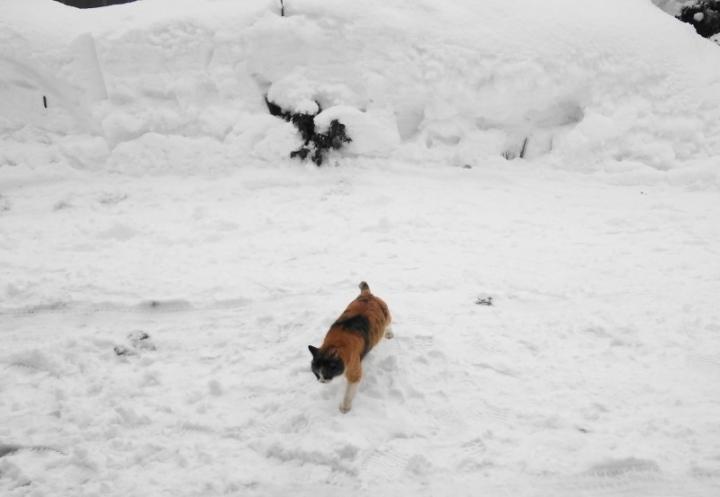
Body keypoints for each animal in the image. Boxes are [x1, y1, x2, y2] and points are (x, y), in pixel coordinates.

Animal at [306, 280, 390, 412]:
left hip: (386, 314)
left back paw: (389, 333)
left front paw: (345, 408)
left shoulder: (354, 369)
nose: (322, 381)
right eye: (316, 373)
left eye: (326, 372)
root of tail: (367, 294)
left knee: (389, 323)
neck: (335, 344)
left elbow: (349, 392)